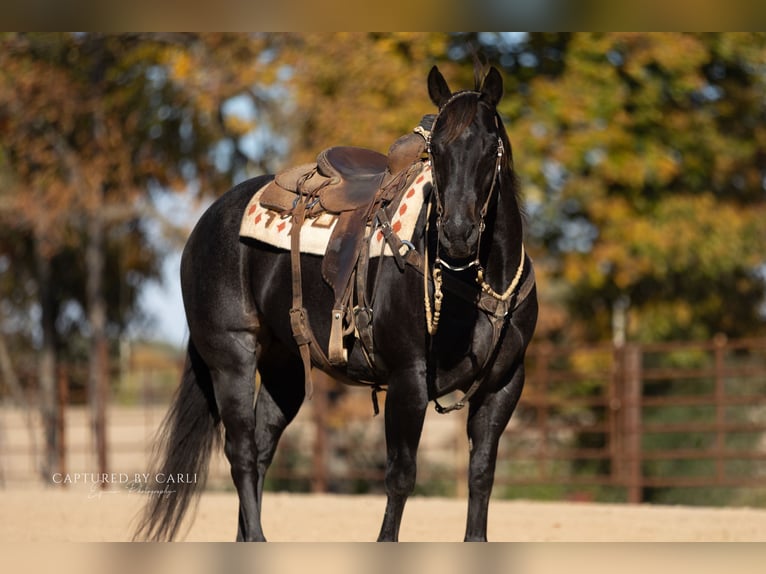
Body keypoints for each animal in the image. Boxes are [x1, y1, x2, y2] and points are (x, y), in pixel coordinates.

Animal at [133, 65, 538, 542]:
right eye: (435, 149)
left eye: (490, 147)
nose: (457, 232)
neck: (474, 283)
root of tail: (207, 222)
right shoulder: (408, 379)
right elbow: (401, 475)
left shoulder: (503, 385)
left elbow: (481, 474)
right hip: (231, 358)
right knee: (242, 452)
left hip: (285, 367)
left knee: (263, 447)